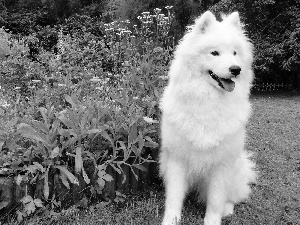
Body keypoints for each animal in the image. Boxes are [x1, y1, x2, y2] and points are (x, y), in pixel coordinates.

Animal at [161, 11, 256, 225]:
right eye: (214, 53)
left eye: (235, 53)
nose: (236, 69)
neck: (208, 101)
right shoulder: (177, 159)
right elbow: (174, 197)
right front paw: (171, 219)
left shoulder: (221, 165)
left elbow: (215, 200)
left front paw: (213, 220)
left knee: (230, 197)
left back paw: (227, 209)